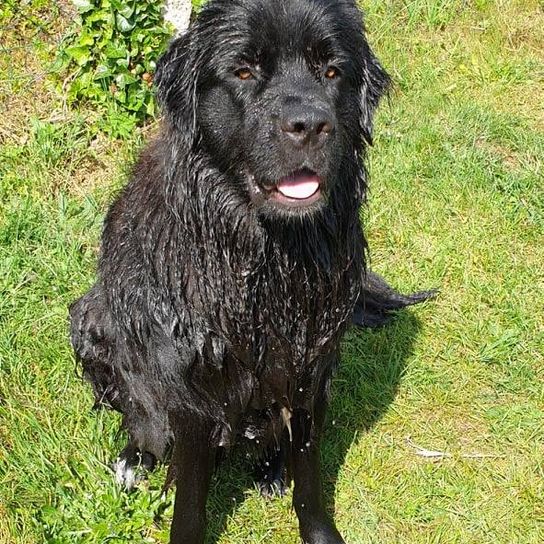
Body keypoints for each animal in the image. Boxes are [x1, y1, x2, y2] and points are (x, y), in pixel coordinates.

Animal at [69, 1, 434, 544]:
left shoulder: (309, 364)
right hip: (92, 320)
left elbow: (309, 474)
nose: (309, 125)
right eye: (243, 72)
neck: (268, 262)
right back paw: (136, 459)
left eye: (332, 71)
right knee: (142, 416)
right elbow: (190, 497)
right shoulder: (193, 381)